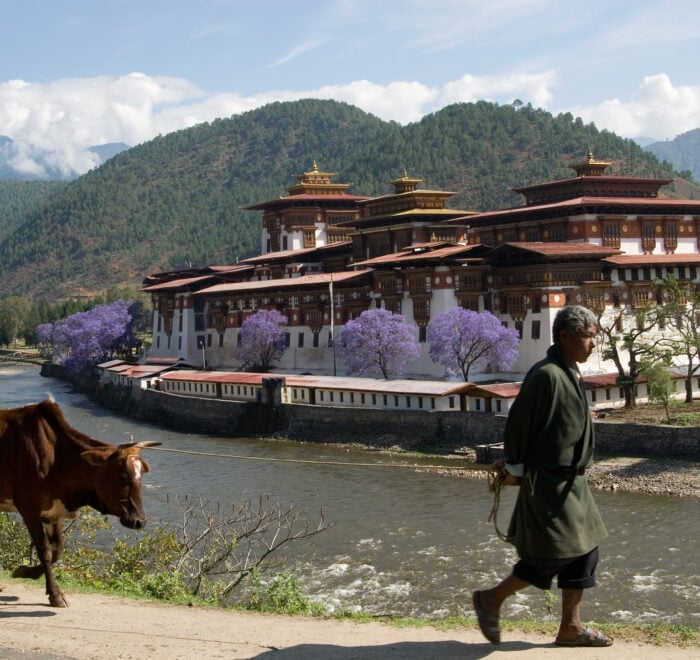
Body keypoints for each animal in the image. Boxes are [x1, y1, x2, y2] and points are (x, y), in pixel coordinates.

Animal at [0, 398, 160, 608]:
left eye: (141, 475)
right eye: (122, 474)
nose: (139, 521)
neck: (57, 457)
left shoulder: (52, 512)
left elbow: (57, 550)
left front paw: (29, 572)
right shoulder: (28, 508)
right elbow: (45, 550)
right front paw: (55, 594)